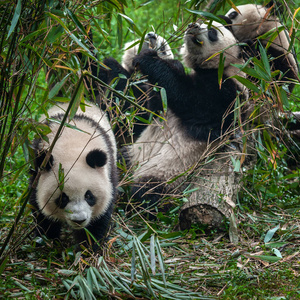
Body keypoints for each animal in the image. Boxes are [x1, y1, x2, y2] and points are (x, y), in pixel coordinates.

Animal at [29, 103, 118, 251]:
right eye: (63, 198)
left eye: (89, 196)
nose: (79, 220)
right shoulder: (38, 169)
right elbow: (41, 212)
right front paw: (47, 244)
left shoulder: (109, 172)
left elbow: (97, 221)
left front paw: (89, 249)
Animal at [125, 21, 247, 218]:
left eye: (212, 32)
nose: (193, 25)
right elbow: (156, 107)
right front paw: (159, 48)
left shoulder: (227, 95)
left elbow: (189, 99)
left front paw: (147, 58)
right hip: (133, 152)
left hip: (168, 175)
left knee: (146, 192)